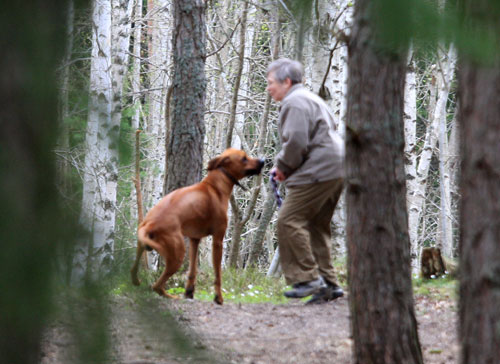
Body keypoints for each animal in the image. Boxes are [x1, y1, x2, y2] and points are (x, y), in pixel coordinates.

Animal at [130, 148, 266, 304]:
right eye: (244, 158)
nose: (263, 161)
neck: (215, 185)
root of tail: (150, 223)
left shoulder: (195, 239)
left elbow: (192, 270)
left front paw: (189, 292)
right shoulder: (218, 240)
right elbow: (218, 274)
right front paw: (218, 298)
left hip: (145, 246)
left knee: (134, 269)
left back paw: (137, 280)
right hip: (177, 254)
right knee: (156, 286)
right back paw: (172, 296)